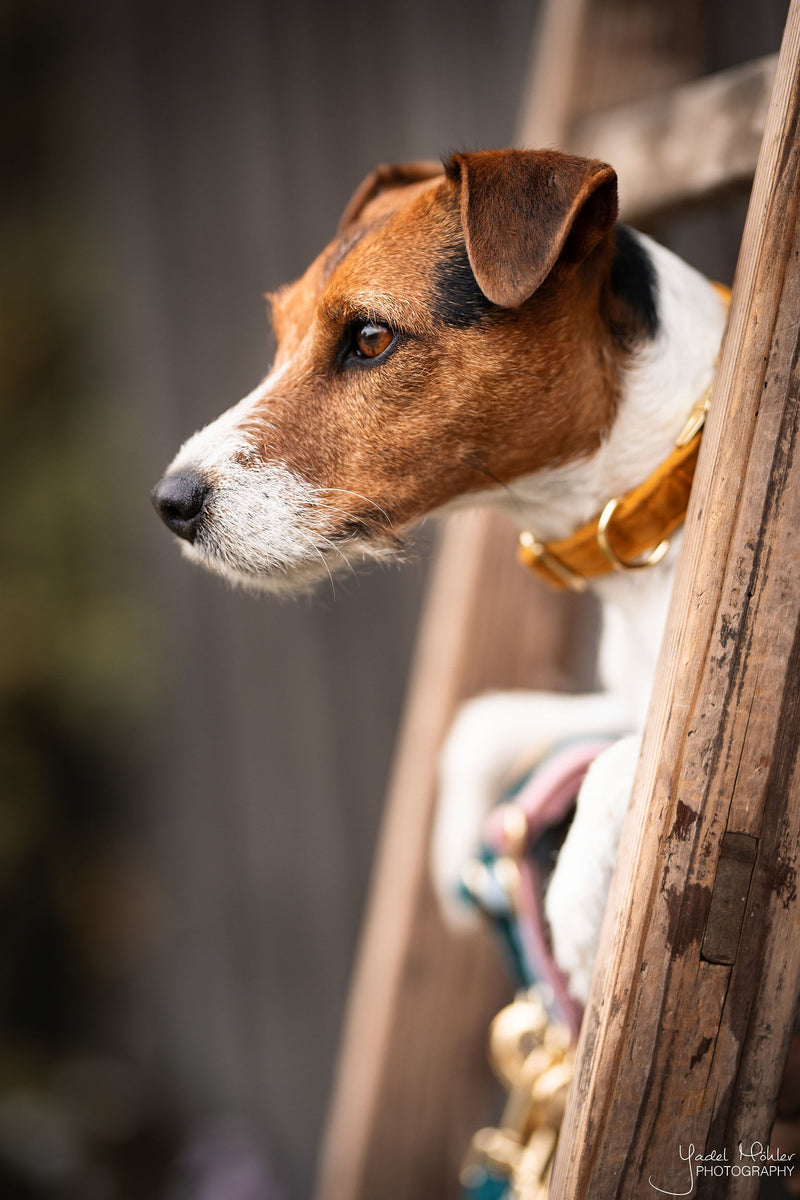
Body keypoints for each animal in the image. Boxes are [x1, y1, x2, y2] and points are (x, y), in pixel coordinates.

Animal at [151, 152, 734, 1012]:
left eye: (370, 337)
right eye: (281, 334)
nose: (170, 503)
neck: (658, 498)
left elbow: (628, 763)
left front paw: (578, 924)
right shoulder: (619, 698)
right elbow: (480, 723)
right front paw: (458, 844)